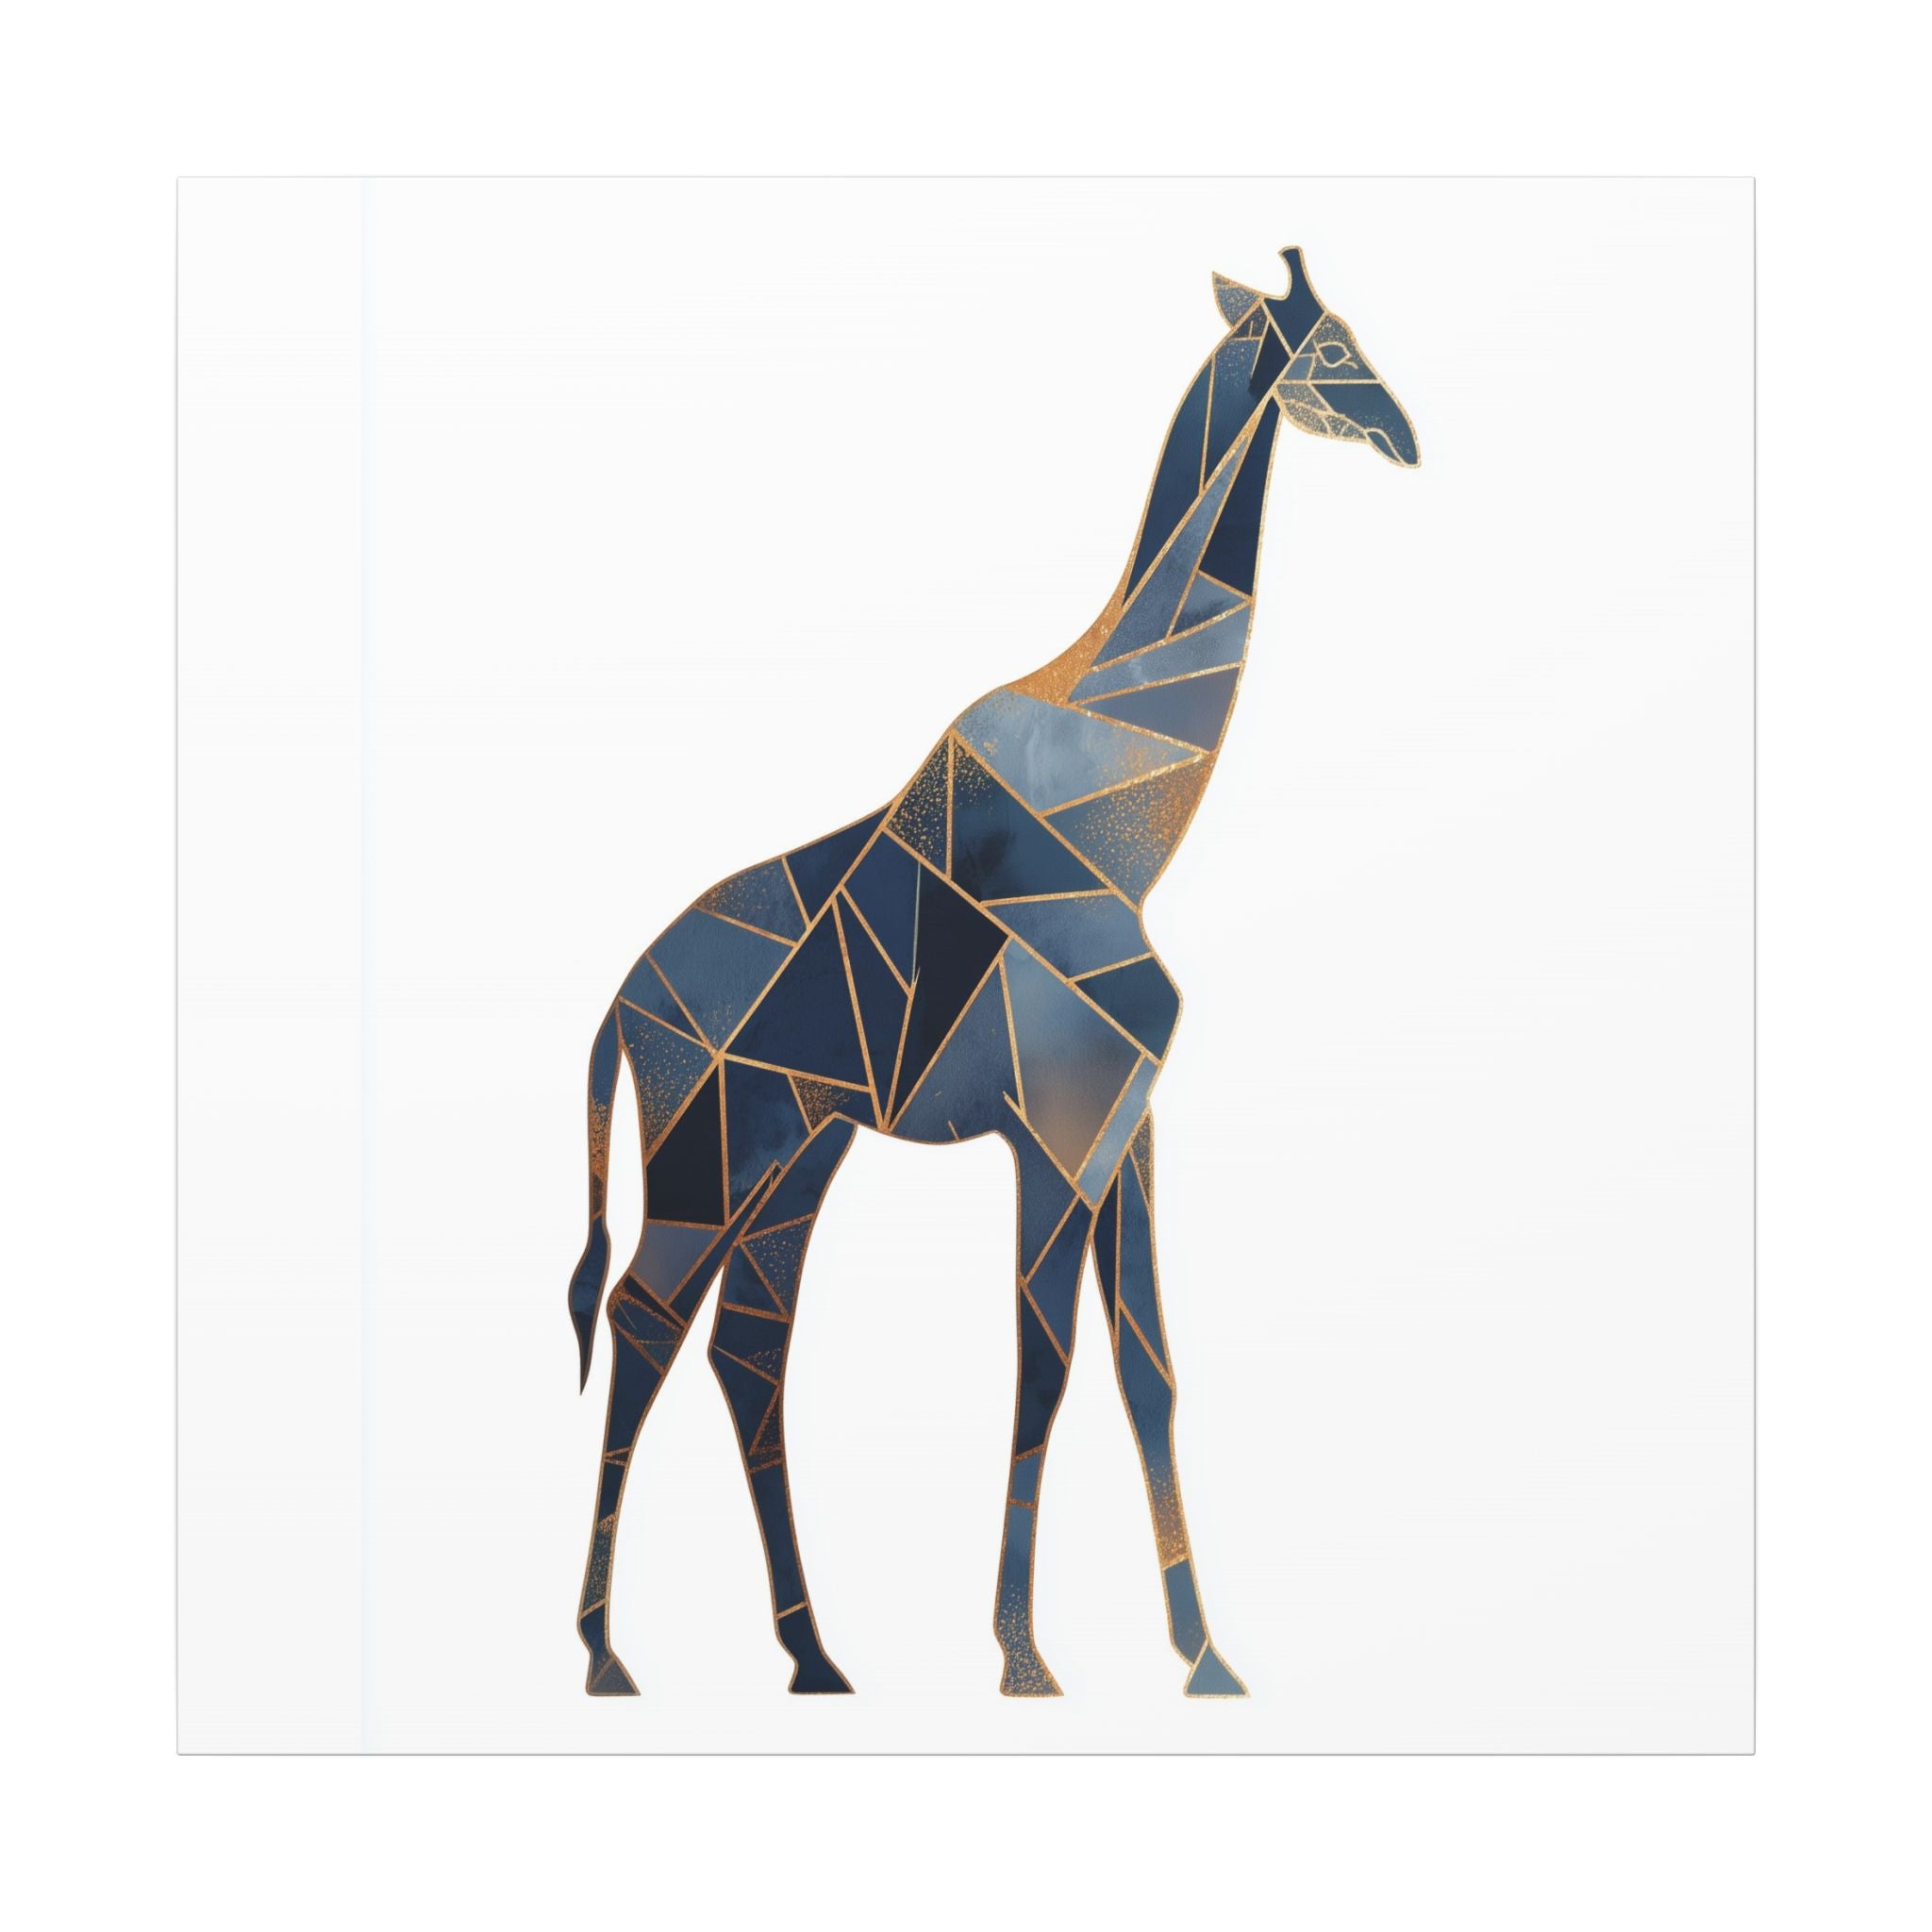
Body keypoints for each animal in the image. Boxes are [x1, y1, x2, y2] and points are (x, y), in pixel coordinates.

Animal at [567, 245, 1418, 1699]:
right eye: (1329, 346)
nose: (1404, 434)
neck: (1129, 817)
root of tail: (620, 1007)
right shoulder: (1057, 1128)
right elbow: (1047, 1366)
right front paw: (1024, 1657)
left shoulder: (1125, 1125)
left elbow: (1148, 1368)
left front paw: (1203, 1658)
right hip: (706, 1153)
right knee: (640, 1324)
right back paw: (605, 1654)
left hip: (796, 1156)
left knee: (747, 1346)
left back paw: (814, 1655)